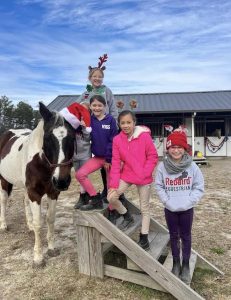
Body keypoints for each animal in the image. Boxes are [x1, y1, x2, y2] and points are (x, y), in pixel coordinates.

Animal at [0, 102, 75, 266]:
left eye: (72, 137)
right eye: (48, 137)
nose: (62, 181)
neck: (41, 162)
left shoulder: (53, 192)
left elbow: (50, 219)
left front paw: (51, 248)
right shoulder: (35, 193)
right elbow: (38, 223)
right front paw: (38, 257)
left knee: (24, 201)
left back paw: (28, 225)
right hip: (4, 180)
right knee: (3, 200)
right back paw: (3, 225)